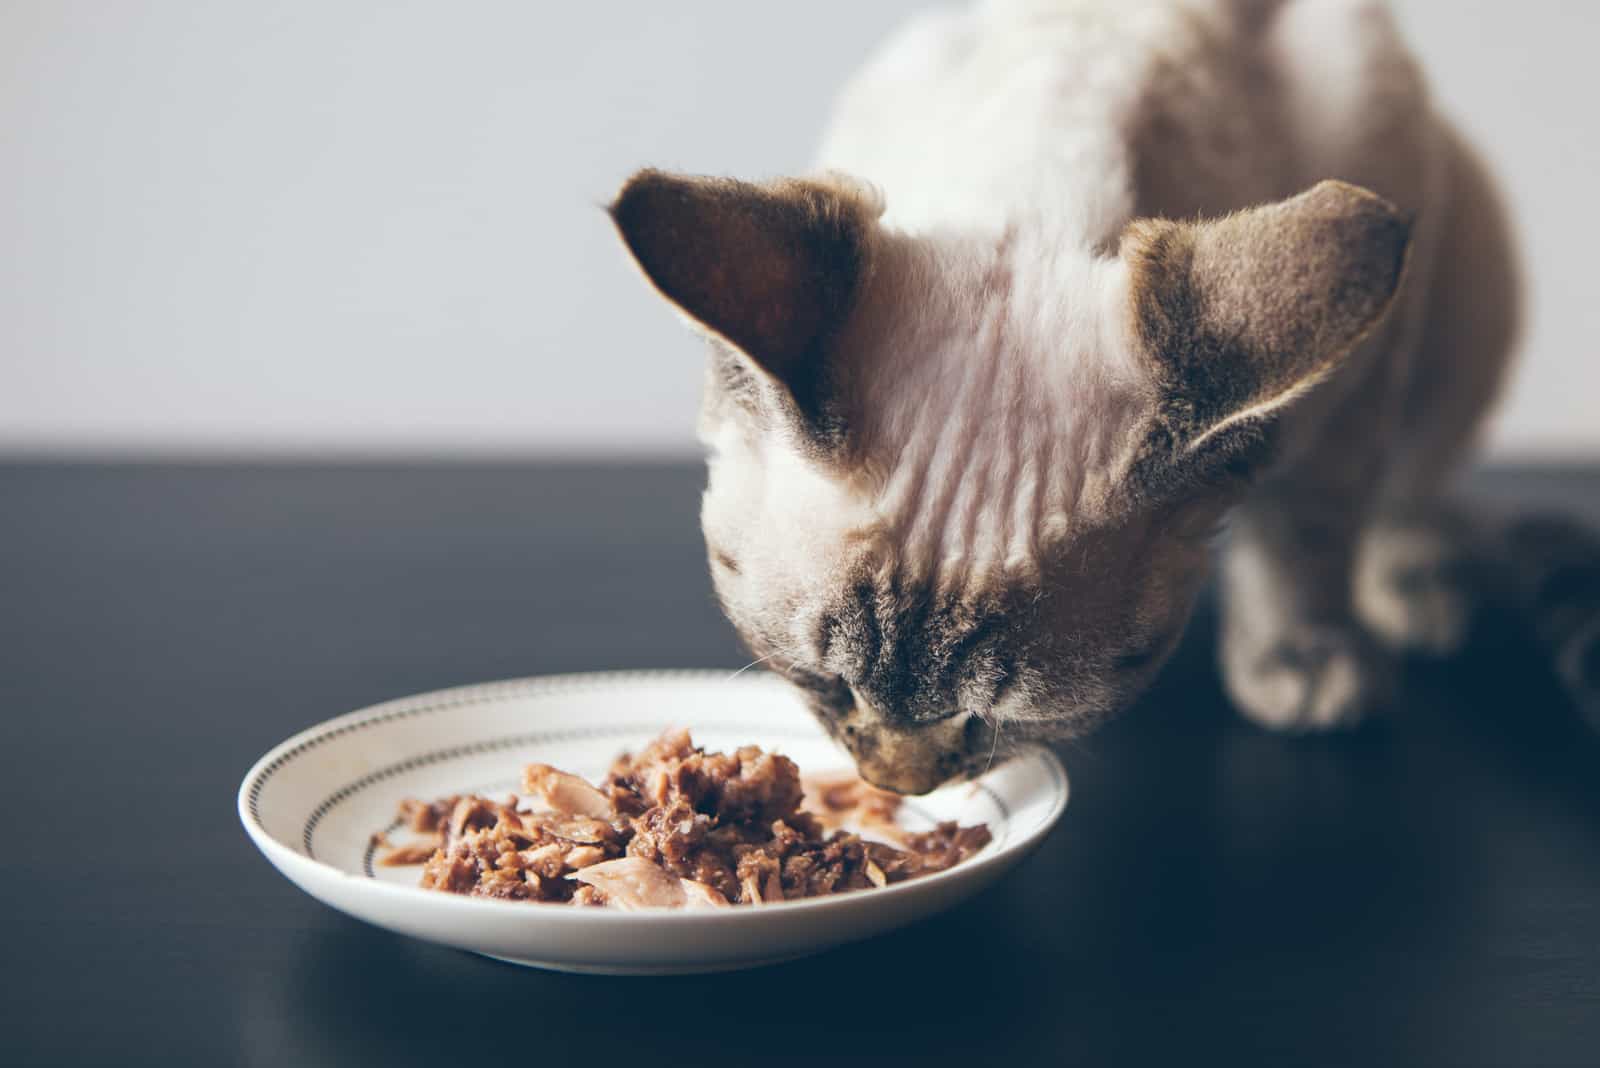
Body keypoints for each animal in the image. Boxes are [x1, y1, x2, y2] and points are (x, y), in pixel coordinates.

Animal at [601, 0, 1536, 789]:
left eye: (990, 720)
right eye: (827, 685)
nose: (896, 784)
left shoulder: (1356, 384)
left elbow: (1305, 536)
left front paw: (1303, 665)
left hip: (1468, 297)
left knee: (1413, 484)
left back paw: (1415, 592)